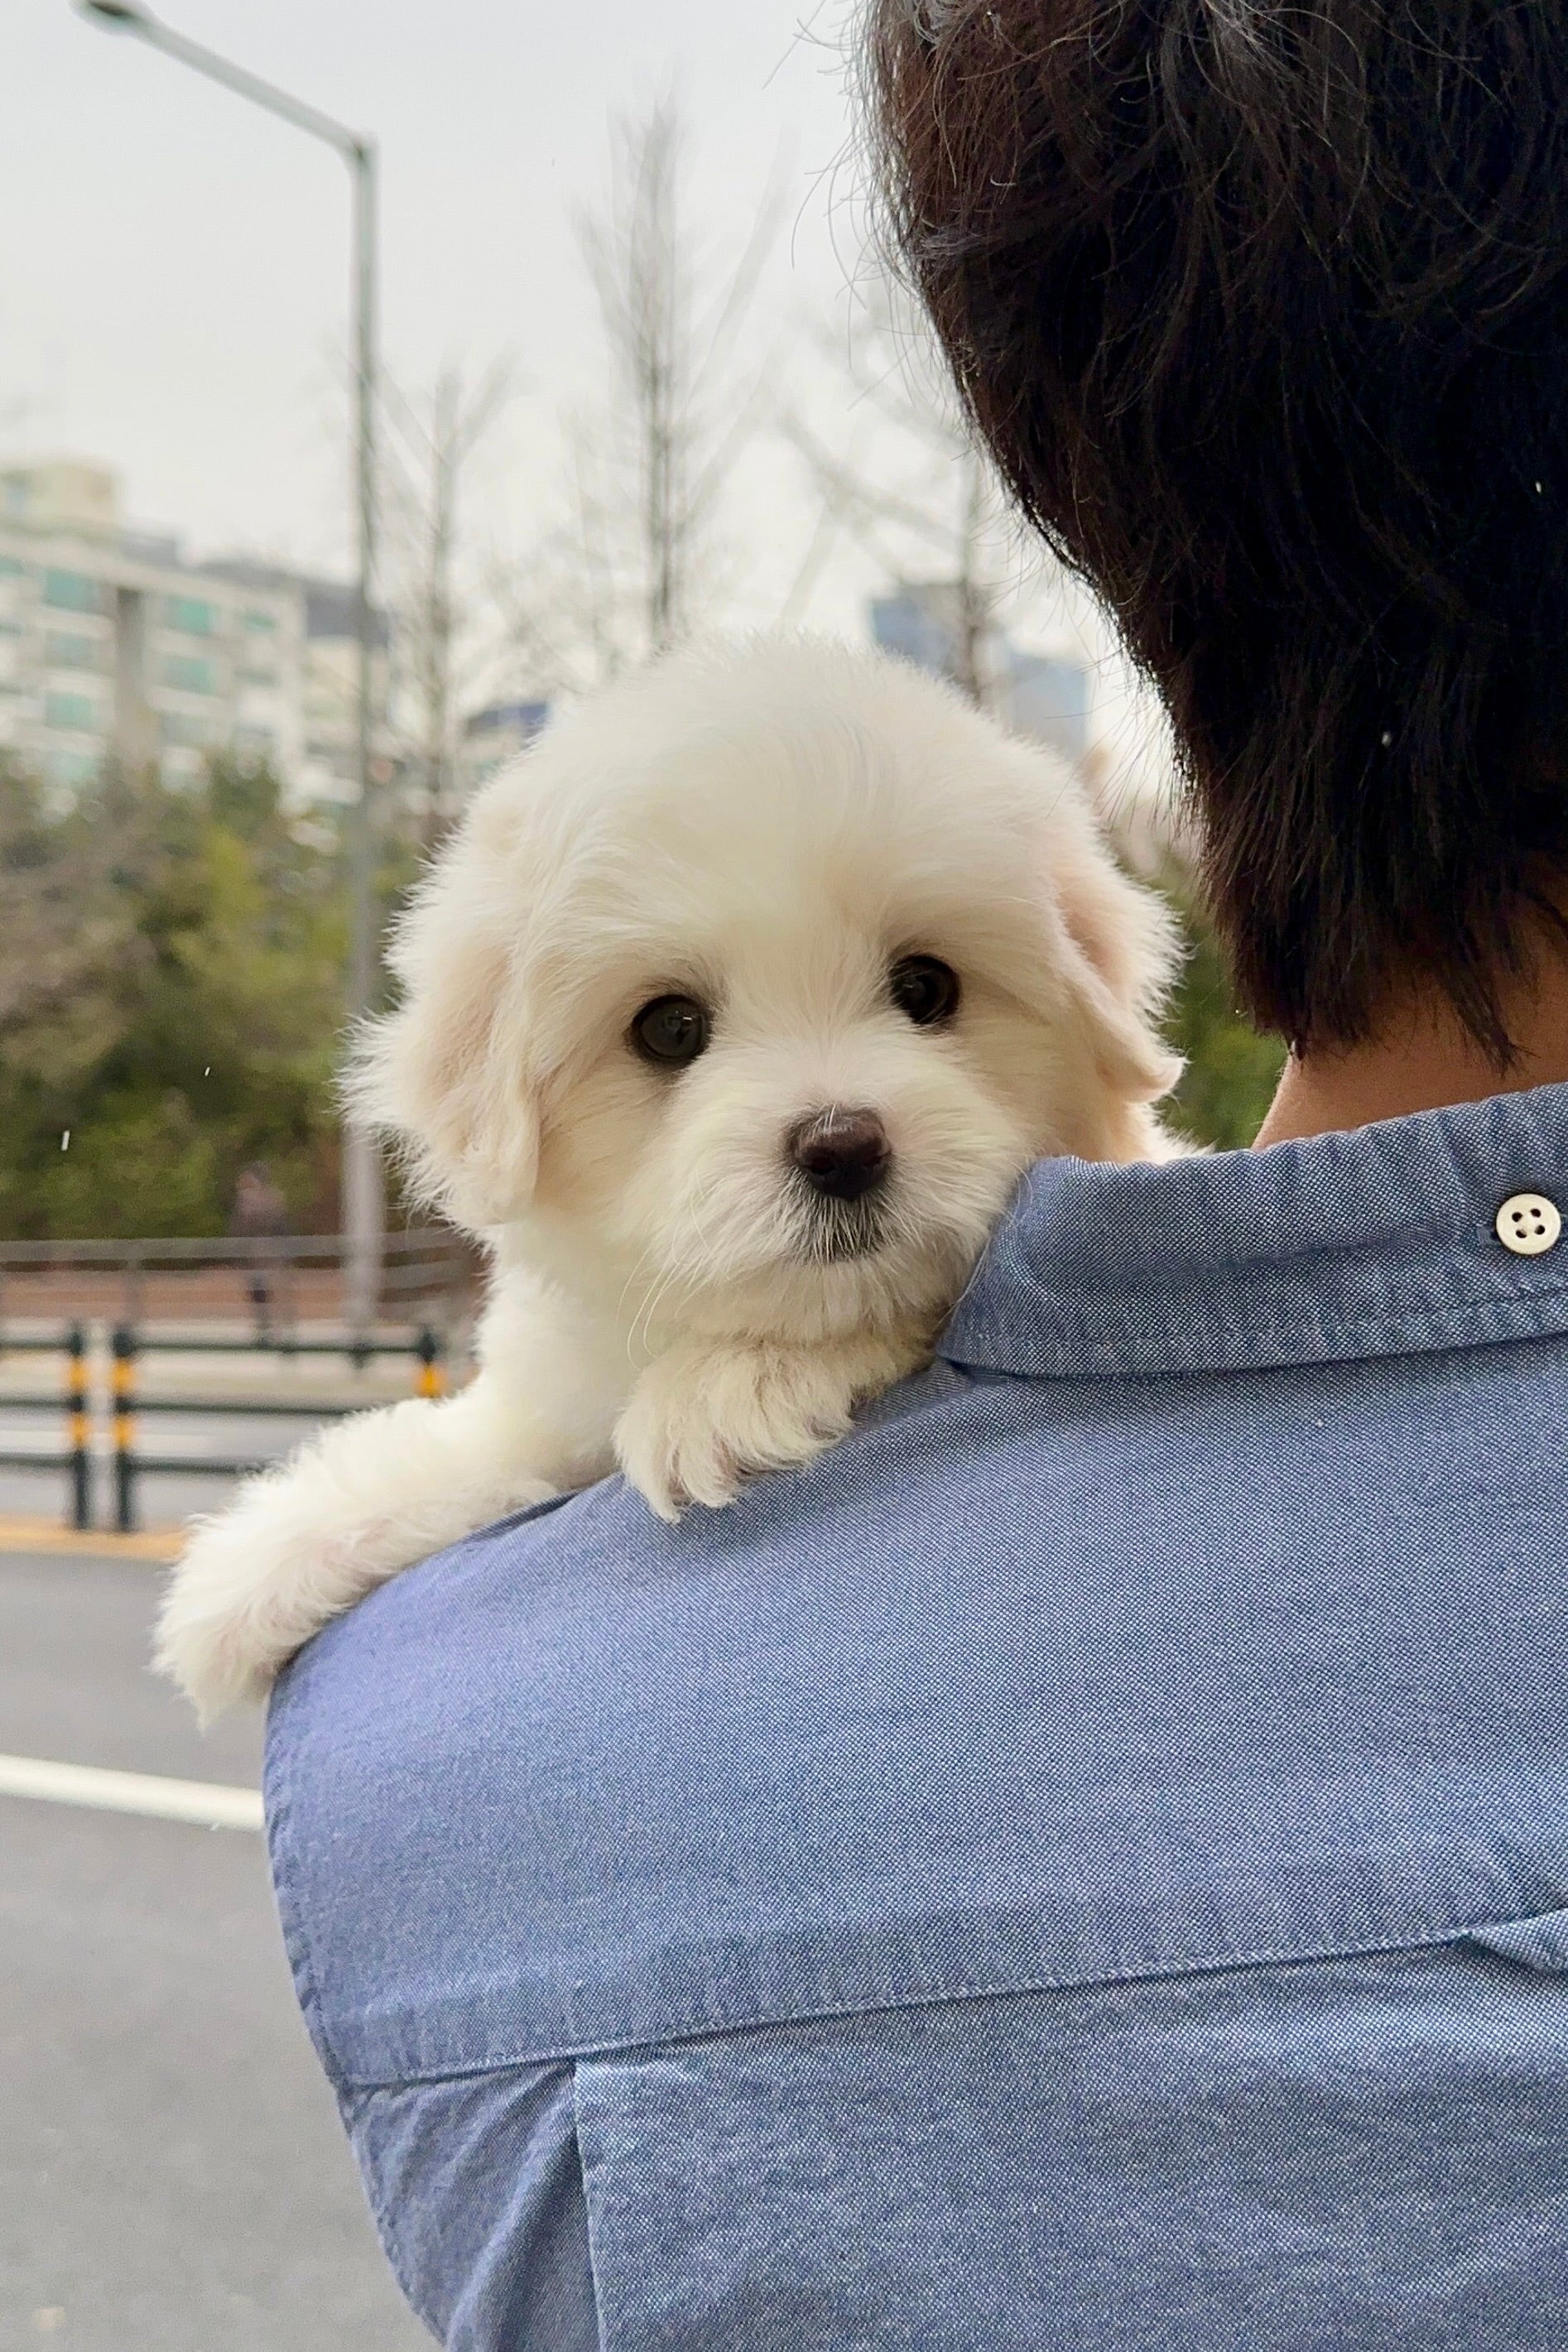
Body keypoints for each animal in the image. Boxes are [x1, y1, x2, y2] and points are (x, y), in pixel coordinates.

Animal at [160, 635, 1175, 1721]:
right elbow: (484, 1448)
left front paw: (727, 1386)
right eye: (670, 1028)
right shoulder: (553, 1401)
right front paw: (262, 1564)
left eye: (926, 987)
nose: (843, 1146)